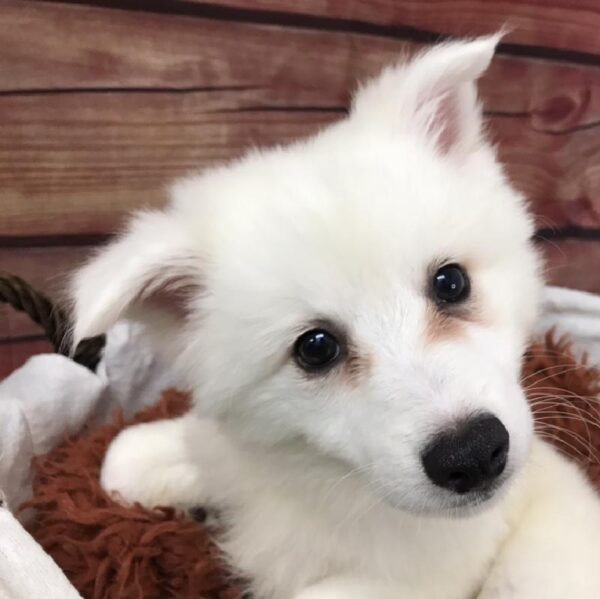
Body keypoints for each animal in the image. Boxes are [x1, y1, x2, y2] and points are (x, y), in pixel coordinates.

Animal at [71, 36, 600, 599]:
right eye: (316, 347)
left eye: (451, 283)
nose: (473, 453)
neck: (338, 488)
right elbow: (183, 454)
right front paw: (145, 457)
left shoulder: (419, 578)